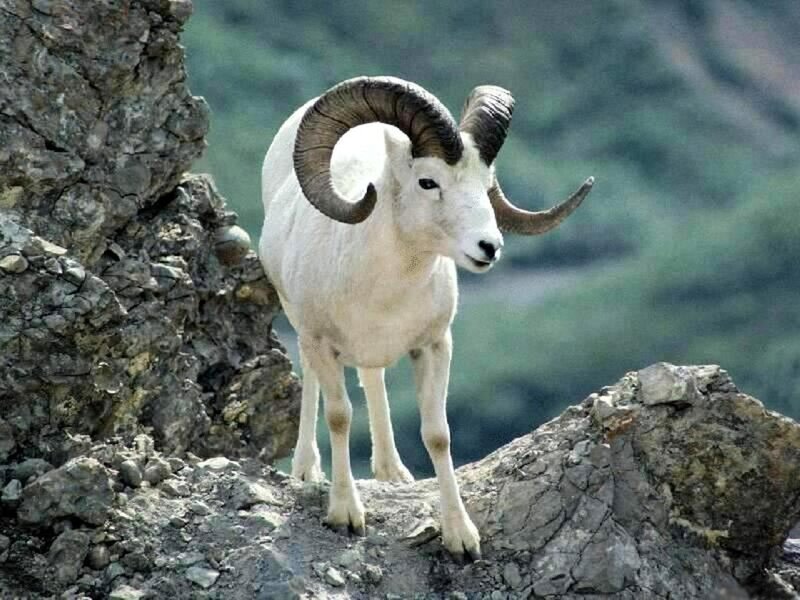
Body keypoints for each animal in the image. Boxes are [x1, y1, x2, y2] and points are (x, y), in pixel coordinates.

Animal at [258, 76, 593, 560]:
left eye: (486, 183)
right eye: (428, 181)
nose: (489, 247)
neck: (380, 293)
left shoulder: (434, 346)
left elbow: (437, 434)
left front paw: (462, 539)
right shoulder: (321, 342)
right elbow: (340, 416)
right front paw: (345, 515)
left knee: (373, 381)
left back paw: (391, 472)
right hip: (301, 331)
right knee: (316, 384)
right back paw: (307, 470)